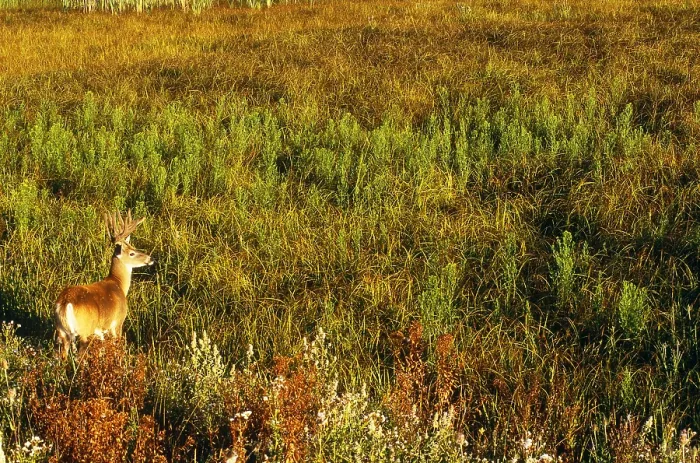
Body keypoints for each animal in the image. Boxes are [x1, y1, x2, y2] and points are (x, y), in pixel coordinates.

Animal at [54, 210, 154, 359]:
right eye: (132, 253)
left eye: (134, 247)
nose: (150, 259)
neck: (118, 283)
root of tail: (66, 303)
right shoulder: (117, 322)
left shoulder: (100, 330)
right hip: (84, 330)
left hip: (61, 331)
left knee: (63, 356)